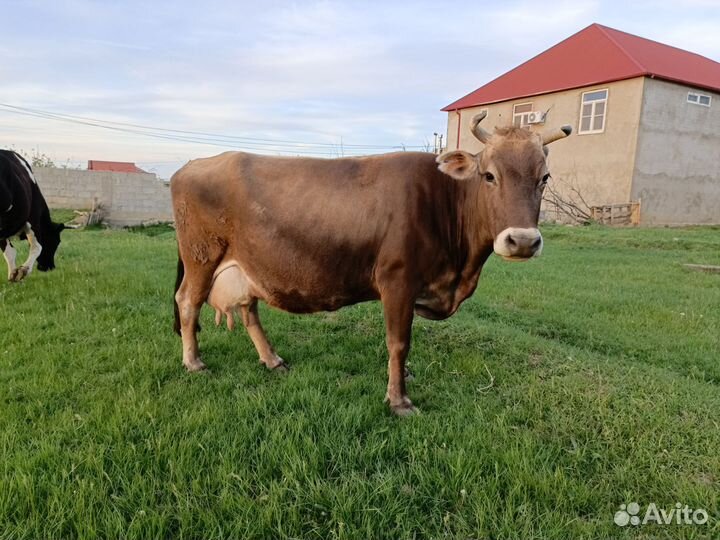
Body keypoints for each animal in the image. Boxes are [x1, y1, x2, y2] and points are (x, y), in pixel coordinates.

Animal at [0, 150, 65, 282]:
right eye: (56, 241)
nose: (50, 267)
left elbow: (9, 251)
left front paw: (13, 274)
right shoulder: (33, 218)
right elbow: (37, 246)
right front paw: (22, 271)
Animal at [171, 112, 571, 415]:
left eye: (544, 177)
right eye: (489, 175)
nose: (522, 240)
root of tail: (192, 164)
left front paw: (405, 378)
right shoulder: (397, 281)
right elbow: (398, 342)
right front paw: (398, 399)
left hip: (250, 265)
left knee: (249, 309)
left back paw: (272, 360)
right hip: (201, 257)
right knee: (188, 301)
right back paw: (194, 362)